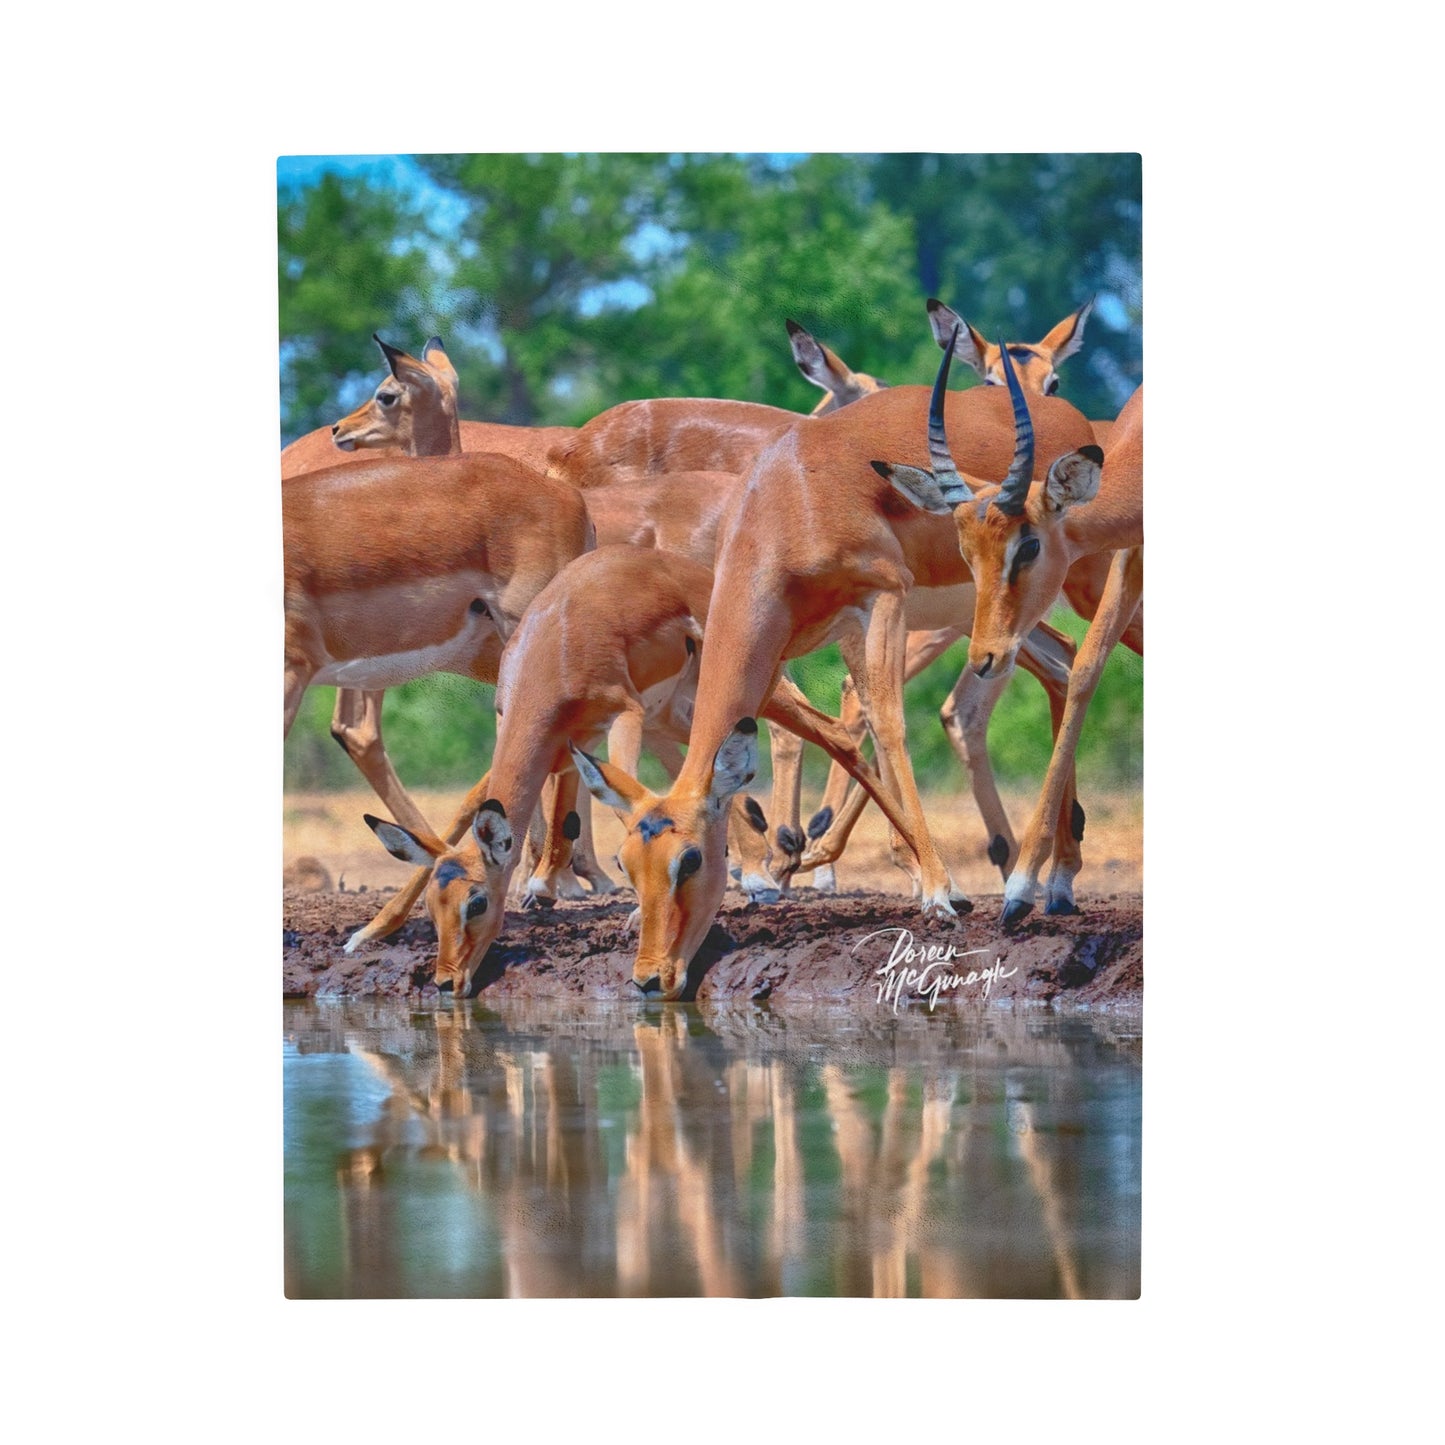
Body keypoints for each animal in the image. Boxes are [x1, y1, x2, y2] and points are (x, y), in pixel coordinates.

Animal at [352, 544, 940, 998]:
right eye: (436, 907)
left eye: (477, 902)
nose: (446, 983)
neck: (554, 644)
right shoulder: (552, 741)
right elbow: (474, 808)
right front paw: (371, 931)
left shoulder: (623, 716)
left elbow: (626, 805)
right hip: (677, 717)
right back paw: (768, 876)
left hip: (746, 695)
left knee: (837, 736)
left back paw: (926, 884)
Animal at [872, 336, 1142, 925]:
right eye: (966, 552)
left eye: (1030, 545)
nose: (985, 658)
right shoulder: (1130, 554)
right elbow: (1085, 670)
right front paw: (1026, 886)